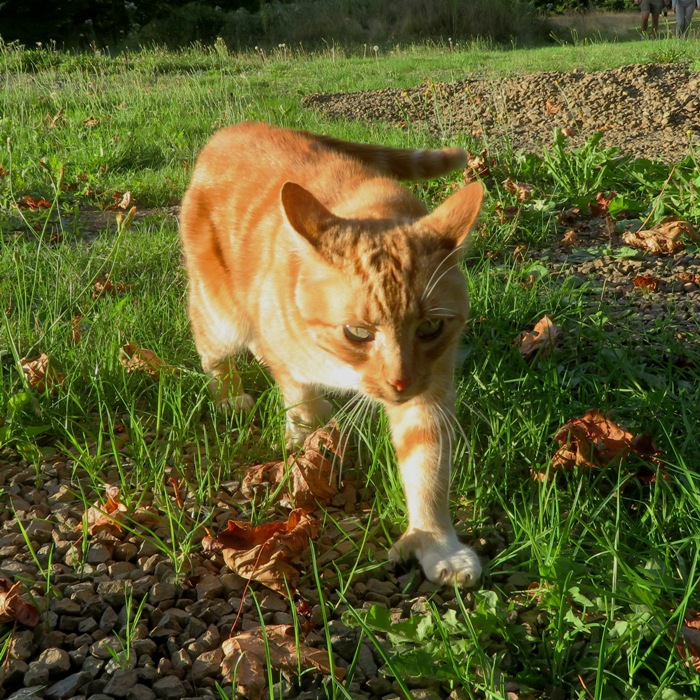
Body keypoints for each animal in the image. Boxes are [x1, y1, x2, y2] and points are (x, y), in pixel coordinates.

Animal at [180, 121, 484, 584]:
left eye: (430, 328)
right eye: (357, 332)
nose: (400, 382)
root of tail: (237, 127)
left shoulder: (429, 389)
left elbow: (427, 468)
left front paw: (437, 543)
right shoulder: (287, 353)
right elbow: (297, 395)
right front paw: (304, 434)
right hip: (221, 314)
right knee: (213, 345)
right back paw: (230, 393)